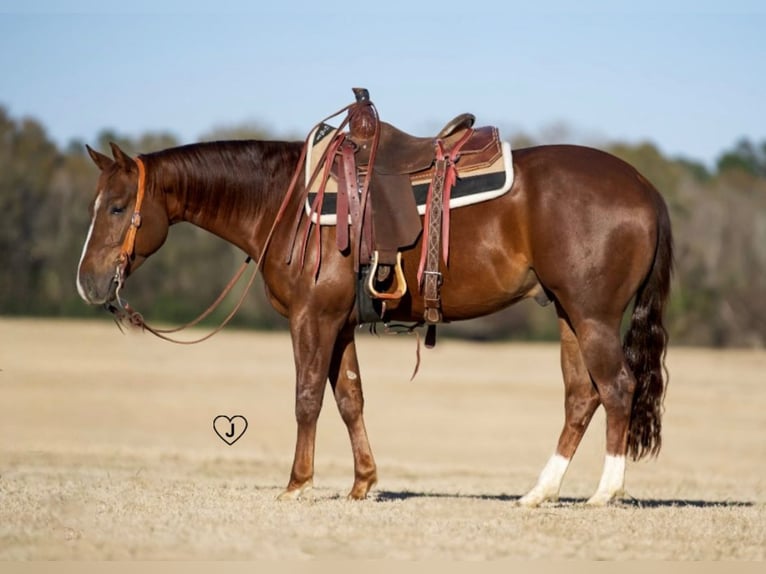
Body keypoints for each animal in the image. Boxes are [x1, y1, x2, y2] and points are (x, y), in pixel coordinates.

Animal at [78, 132, 676, 508]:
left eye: (118, 207)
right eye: (95, 205)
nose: (87, 282)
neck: (285, 204)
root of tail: (645, 188)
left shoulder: (312, 319)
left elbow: (307, 399)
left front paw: (298, 484)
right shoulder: (339, 324)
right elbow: (350, 399)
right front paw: (362, 483)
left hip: (593, 316)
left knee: (617, 388)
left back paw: (605, 493)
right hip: (570, 315)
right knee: (582, 396)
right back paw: (539, 493)